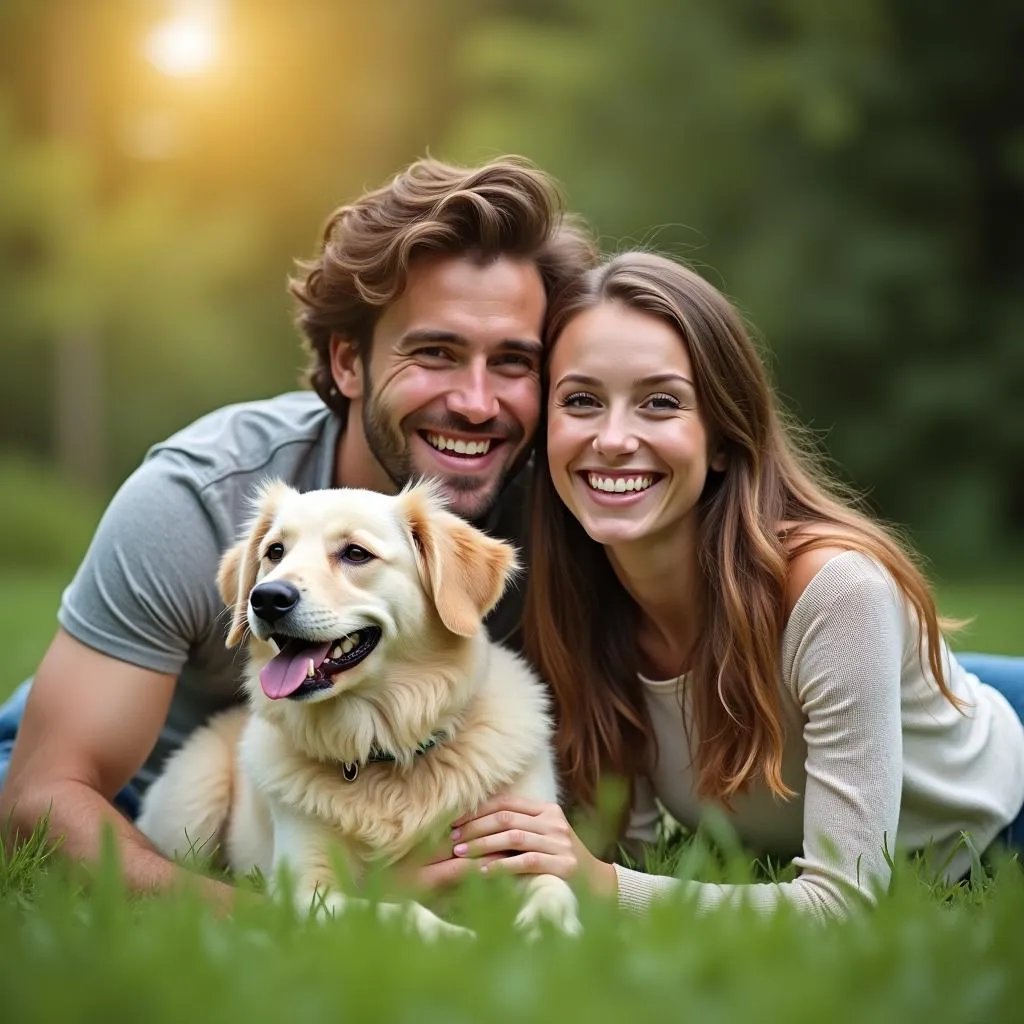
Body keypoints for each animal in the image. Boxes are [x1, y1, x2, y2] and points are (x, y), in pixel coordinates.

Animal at [137, 483, 581, 937]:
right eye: (275, 551)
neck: (383, 746)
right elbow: (398, 912)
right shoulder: (304, 890)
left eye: (355, 553)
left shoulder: (521, 837)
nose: (267, 598)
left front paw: (543, 933)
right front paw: (461, 939)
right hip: (196, 796)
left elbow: (552, 891)